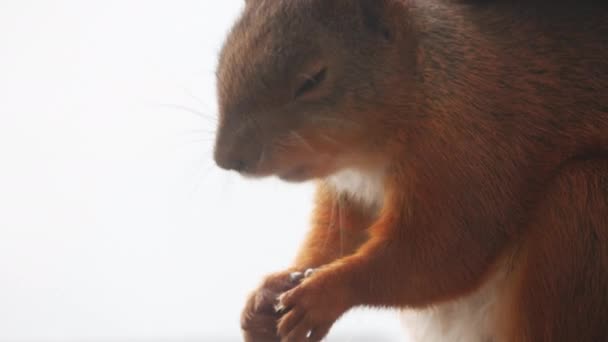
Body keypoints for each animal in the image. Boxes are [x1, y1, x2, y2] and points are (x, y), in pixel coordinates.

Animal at [213, 0, 608, 342]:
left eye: (313, 79)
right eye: (220, 63)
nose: (226, 159)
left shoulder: (471, 150)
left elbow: (444, 251)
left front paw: (325, 293)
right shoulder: (351, 194)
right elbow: (338, 238)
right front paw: (268, 293)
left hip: (582, 210)